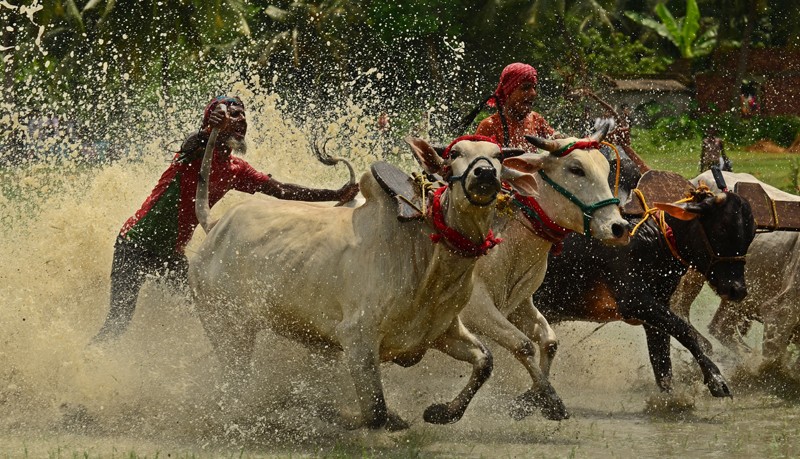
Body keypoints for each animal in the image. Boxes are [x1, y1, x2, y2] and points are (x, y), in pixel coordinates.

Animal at [188, 135, 543, 431]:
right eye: (455, 154)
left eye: (498, 156)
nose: (484, 174)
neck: (426, 253)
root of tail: (215, 225)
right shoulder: (357, 338)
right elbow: (375, 414)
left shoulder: (442, 331)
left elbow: (485, 361)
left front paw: (441, 412)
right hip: (227, 326)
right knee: (234, 383)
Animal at [458, 124, 630, 421]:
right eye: (576, 169)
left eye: (606, 167)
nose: (618, 227)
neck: (507, 239)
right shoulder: (476, 308)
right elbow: (523, 345)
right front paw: (550, 400)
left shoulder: (520, 304)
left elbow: (549, 342)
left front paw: (530, 399)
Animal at [530, 167, 756, 398]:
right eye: (722, 229)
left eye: (751, 234)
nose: (737, 289)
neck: (654, 238)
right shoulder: (634, 300)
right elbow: (685, 330)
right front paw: (715, 377)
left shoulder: (655, 311)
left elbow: (663, 364)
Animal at [671, 171, 800, 377]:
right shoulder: (782, 310)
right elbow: (771, 363)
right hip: (694, 269)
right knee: (679, 308)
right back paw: (706, 346)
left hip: (738, 292)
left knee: (720, 327)